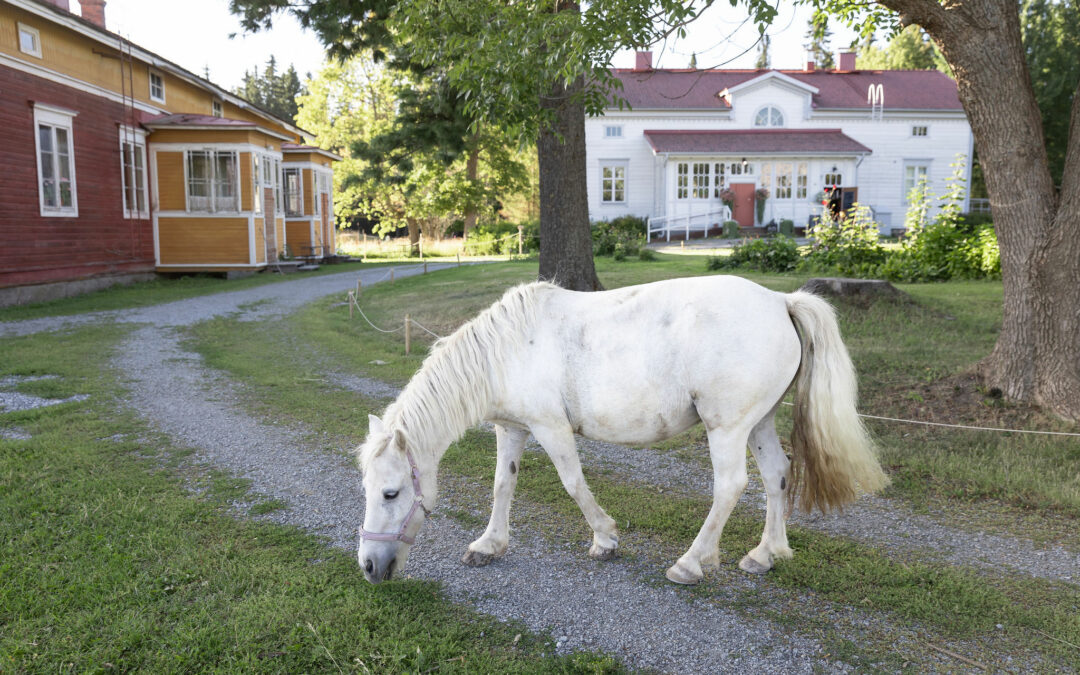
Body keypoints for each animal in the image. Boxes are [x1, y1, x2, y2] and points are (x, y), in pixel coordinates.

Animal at [354, 274, 885, 583]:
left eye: (390, 493)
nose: (370, 566)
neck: (505, 350)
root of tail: (780, 301)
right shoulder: (513, 429)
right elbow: (503, 485)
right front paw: (489, 545)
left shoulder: (550, 427)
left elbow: (572, 482)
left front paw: (605, 539)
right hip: (759, 421)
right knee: (776, 475)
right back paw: (766, 553)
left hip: (728, 427)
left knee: (731, 485)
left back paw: (691, 563)